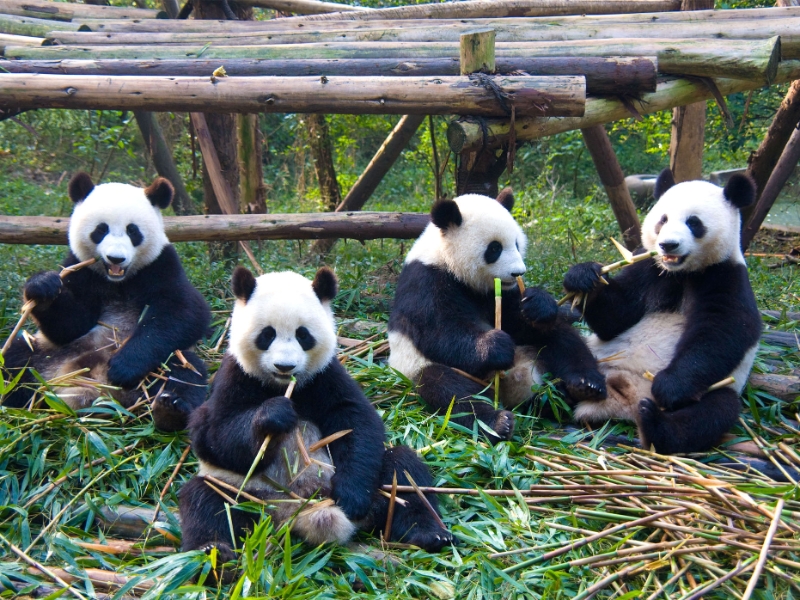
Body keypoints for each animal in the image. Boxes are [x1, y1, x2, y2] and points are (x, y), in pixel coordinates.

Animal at [2, 172, 210, 432]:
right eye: (100, 230)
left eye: (133, 231)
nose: (116, 258)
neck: (117, 282)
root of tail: (96, 393)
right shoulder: (80, 270)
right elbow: (71, 325)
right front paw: (43, 287)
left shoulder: (161, 265)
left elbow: (184, 312)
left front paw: (123, 367)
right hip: (47, 356)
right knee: (16, 361)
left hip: (162, 365)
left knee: (185, 371)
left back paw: (169, 410)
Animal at [179, 266, 453, 561]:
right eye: (267, 334)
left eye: (303, 335)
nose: (284, 366)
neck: (282, 386)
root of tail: (298, 514)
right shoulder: (235, 376)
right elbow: (213, 435)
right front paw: (274, 416)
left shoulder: (325, 375)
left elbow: (355, 420)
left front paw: (351, 497)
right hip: (250, 496)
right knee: (207, 499)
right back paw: (213, 550)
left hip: (378, 486)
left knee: (404, 473)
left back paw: (430, 534)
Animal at [388, 189, 607, 443]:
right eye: (494, 248)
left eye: (517, 244)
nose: (518, 272)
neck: (446, 260)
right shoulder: (425, 281)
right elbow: (439, 331)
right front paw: (496, 346)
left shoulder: (501, 293)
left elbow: (520, 321)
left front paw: (539, 304)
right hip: (420, 367)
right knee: (448, 389)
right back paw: (497, 422)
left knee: (562, 339)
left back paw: (583, 386)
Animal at [562, 168, 762, 454]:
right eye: (663, 220)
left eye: (694, 223)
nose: (668, 245)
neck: (681, 272)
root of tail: (624, 401)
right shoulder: (649, 268)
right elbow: (616, 318)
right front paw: (584, 277)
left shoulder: (725, 275)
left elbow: (723, 331)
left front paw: (669, 385)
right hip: (600, 361)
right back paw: (581, 386)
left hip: (716, 388)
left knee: (712, 412)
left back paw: (653, 423)